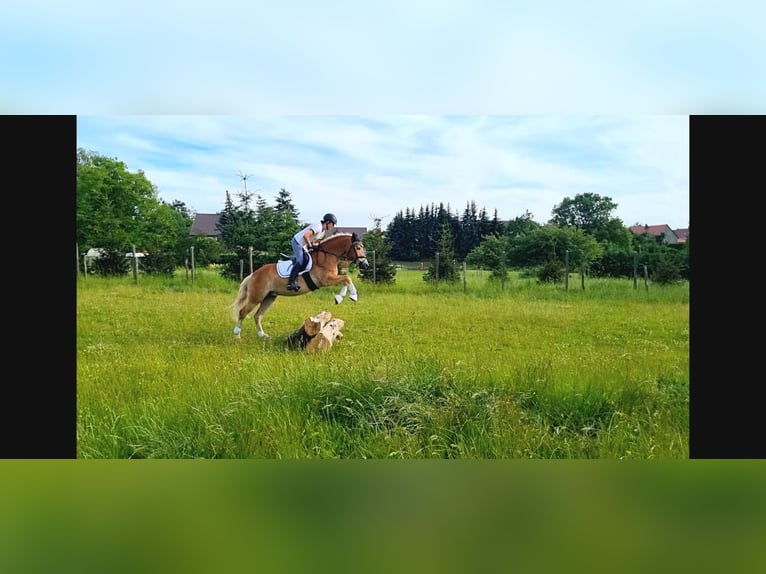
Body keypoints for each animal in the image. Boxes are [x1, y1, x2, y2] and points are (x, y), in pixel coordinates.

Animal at [230, 233, 370, 340]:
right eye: (358, 247)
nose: (365, 264)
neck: (327, 256)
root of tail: (253, 274)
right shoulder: (326, 280)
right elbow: (347, 278)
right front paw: (349, 296)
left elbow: (346, 279)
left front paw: (344, 297)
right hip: (256, 297)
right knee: (242, 312)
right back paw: (237, 335)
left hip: (269, 297)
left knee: (257, 315)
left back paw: (262, 335)